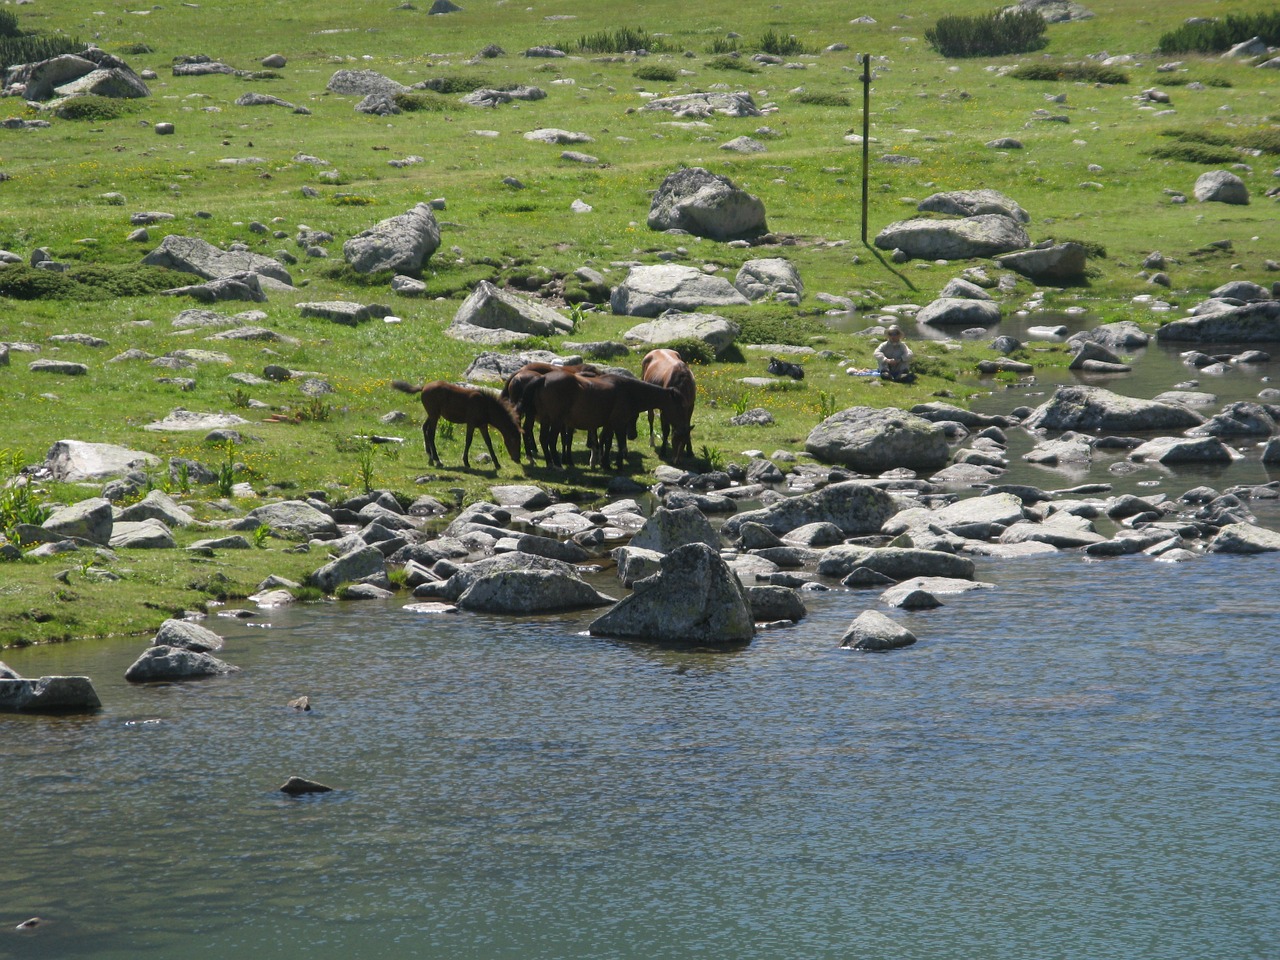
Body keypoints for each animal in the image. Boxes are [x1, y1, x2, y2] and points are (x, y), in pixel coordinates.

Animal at [389, 378, 519, 471]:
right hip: (434, 415)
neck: (485, 406)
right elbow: (468, 440)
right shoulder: (471, 423)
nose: (517, 460)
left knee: (424, 428)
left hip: (432, 414)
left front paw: (497, 464)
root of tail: (423, 387)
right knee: (431, 433)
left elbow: (488, 442)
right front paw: (466, 462)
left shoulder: (482, 425)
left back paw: (430, 458)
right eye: (514, 441)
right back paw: (437, 460)